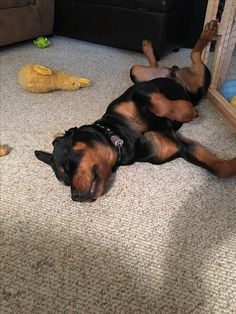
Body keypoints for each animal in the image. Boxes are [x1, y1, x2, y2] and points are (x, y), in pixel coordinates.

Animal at [34, 20, 236, 201]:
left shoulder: (142, 90)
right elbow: (220, 169)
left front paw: (186, 111)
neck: (120, 136)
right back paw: (148, 46)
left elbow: (160, 105)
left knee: (195, 56)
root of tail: (173, 72)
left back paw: (208, 31)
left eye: (69, 163)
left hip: (194, 84)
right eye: (64, 181)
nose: (75, 197)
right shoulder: (179, 147)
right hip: (137, 72)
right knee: (162, 63)